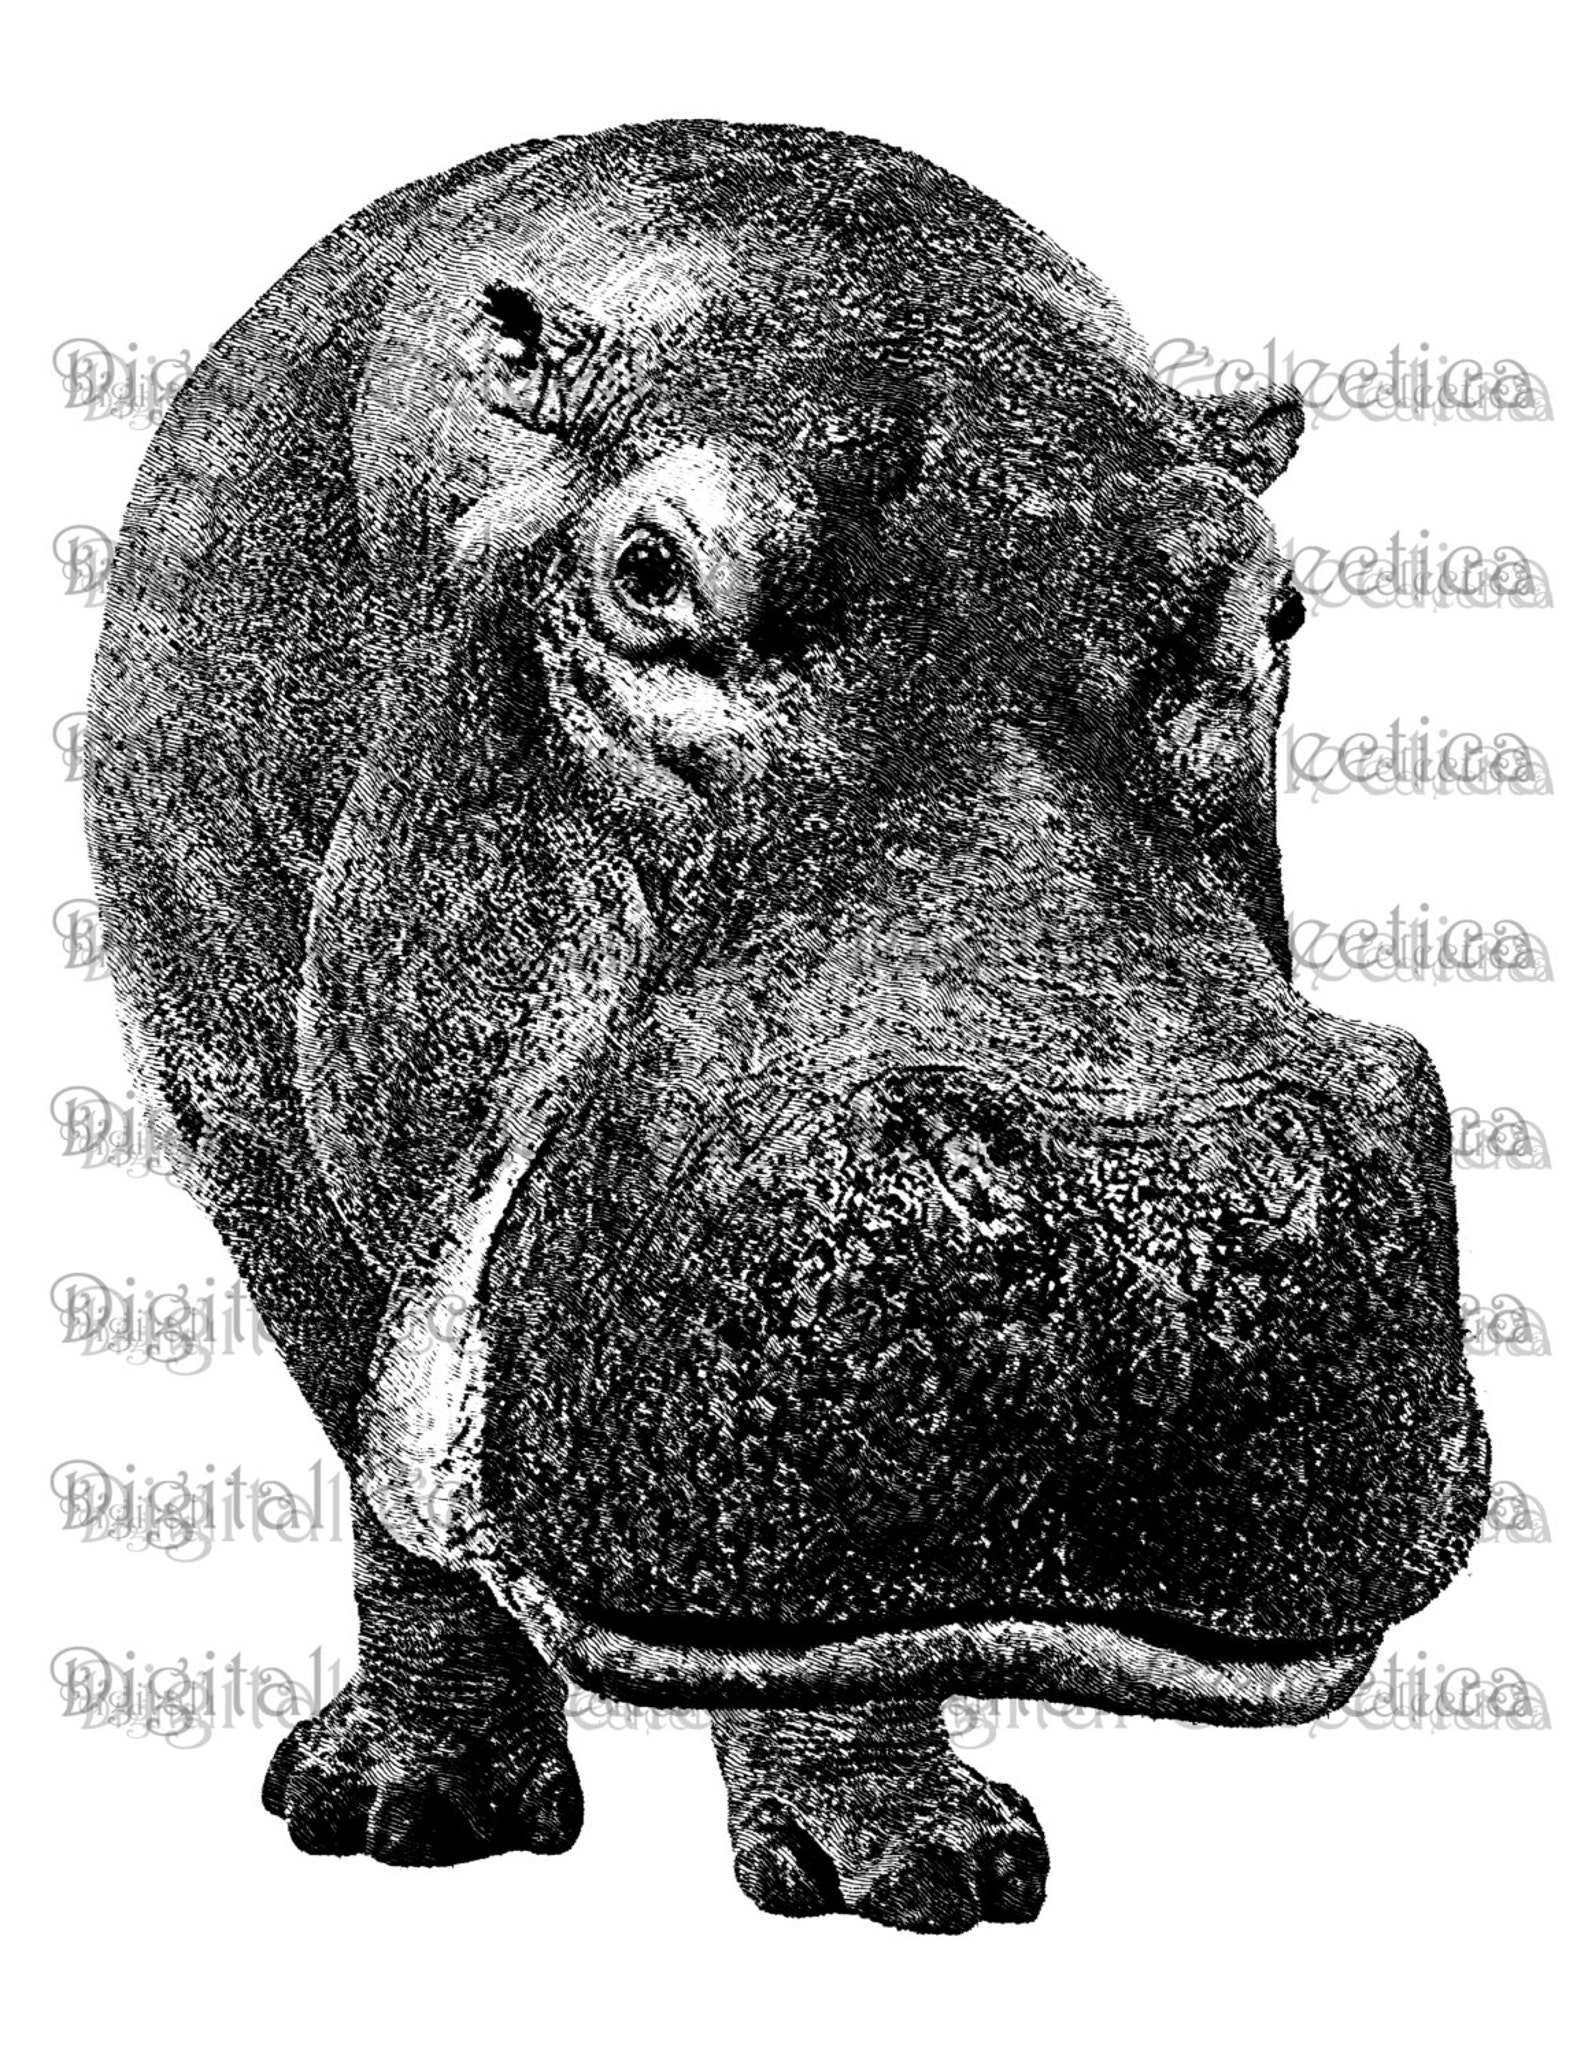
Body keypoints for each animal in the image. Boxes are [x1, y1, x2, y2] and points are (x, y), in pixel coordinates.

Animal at [86, 119, 1489, 1933]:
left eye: (1280, 606)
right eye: (645, 567)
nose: (1140, 1217)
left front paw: (920, 1862)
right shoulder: (241, 1117)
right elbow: (374, 1456)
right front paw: (406, 1811)